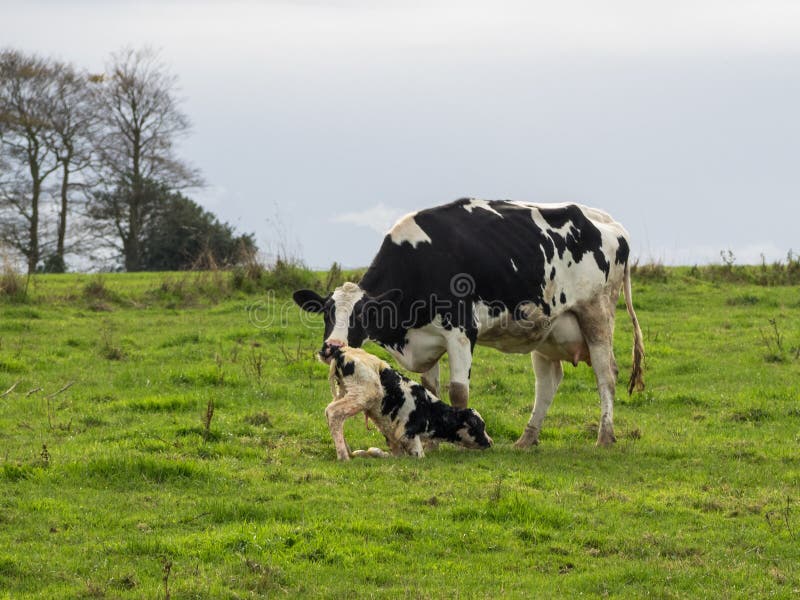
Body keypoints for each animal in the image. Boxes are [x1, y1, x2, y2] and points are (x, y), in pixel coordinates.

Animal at [296, 199, 648, 448]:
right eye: (326, 312)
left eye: (364, 314)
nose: (332, 348)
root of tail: (608, 221)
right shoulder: (425, 340)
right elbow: (431, 389)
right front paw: (430, 441)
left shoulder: (463, 331)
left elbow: (458, 392)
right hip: (548, 328)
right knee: (548, 383)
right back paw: (526, 439)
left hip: (597, 314)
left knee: (606, 373)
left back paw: (604, 436)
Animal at [322, 342, 490, 460]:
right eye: (479, 426)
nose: (490, 442)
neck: (427, 408)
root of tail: (343, 351)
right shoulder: (409, 437)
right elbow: (419, 455)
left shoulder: (394, 440)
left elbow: (384, 453)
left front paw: (367, 452)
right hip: (366, 393)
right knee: (334, 412)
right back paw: (344, 456)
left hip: (345, 391)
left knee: (333, 413)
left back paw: (349, 451)